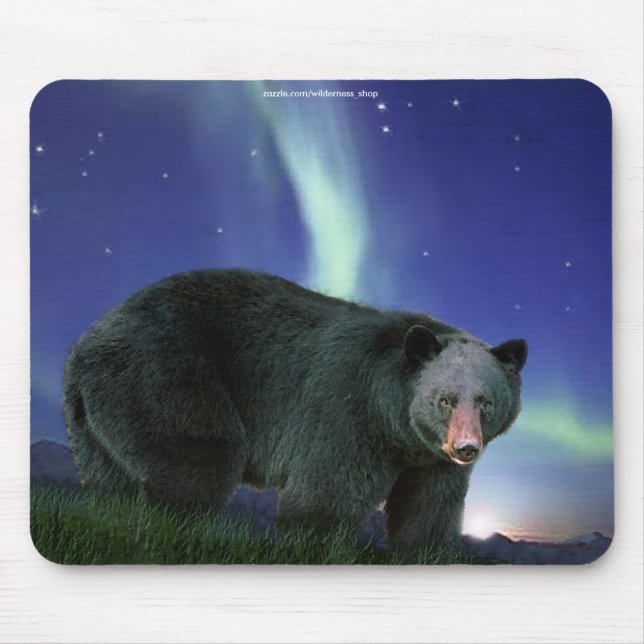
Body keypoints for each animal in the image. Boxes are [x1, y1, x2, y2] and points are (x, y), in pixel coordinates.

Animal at [63, 268, 527, 551]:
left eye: (486, 402)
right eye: (444, 399)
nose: (466, 447)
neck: (395, 424)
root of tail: (87, 340)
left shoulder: (430, 460)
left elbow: (428, 507)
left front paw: (422, 549)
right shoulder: (347, 408)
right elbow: (328, 489)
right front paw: (314, 541)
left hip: (94, 418)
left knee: (111, 481)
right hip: (166, 374)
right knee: (198, 461)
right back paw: (173, 531)